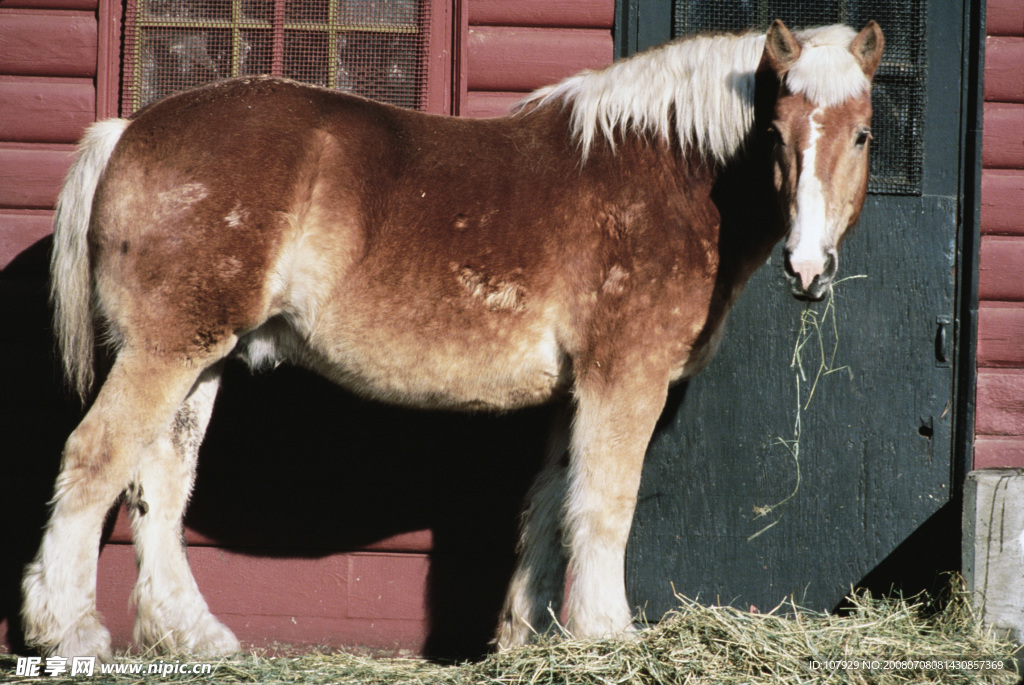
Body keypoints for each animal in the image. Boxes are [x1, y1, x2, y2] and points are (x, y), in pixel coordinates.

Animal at [28, 17, 884, 655]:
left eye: (864, 135)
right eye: (776, 132)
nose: (809, 266)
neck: (663, 171)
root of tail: (128, 129)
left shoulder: (576, 392)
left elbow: (550, 505)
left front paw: (523, 637)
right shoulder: (622, 378)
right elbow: (606, 503)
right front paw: (606, 633)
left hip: (198, 357)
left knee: (159, 482)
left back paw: (191, 634)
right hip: (164, 351)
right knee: (95, 457)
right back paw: (66, 629)